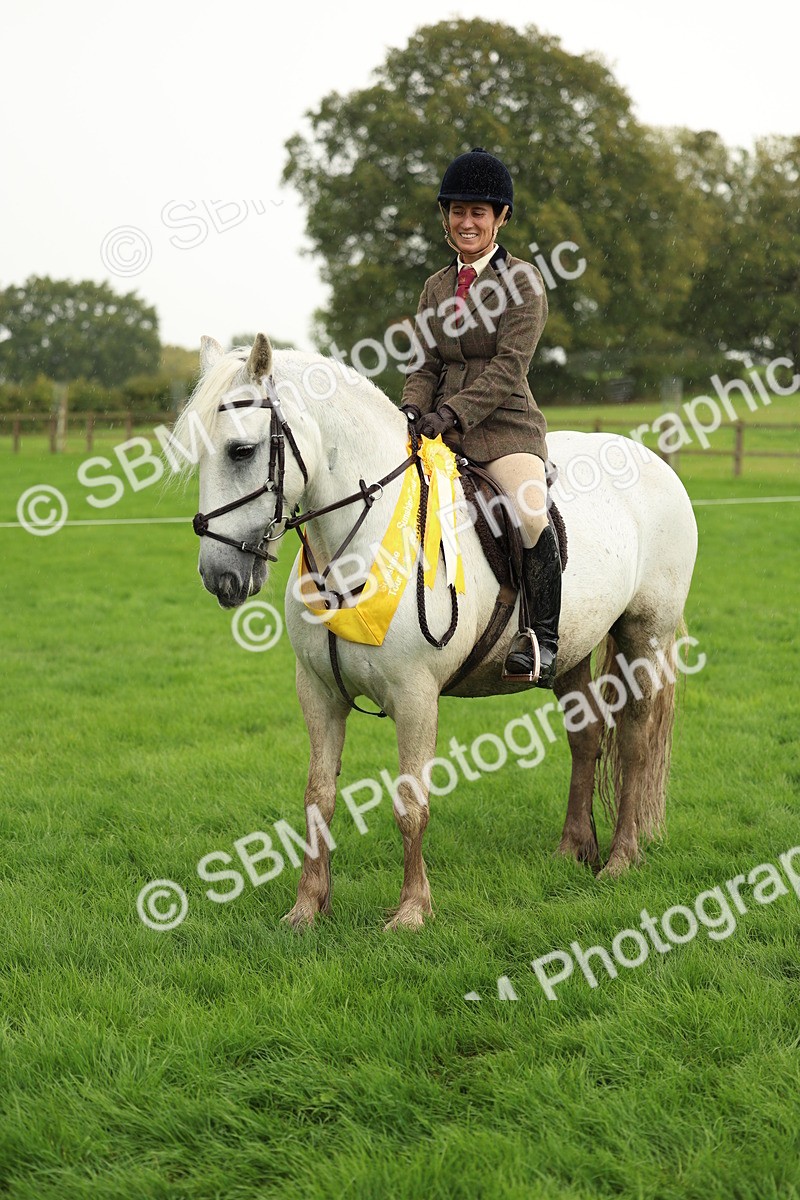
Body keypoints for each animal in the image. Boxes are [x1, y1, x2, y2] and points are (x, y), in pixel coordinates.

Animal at [176, 334, 698, 930]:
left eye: (241, 451)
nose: (220, 575)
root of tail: (651, 460)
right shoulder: (319, 693)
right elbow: (318, 798)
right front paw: (306, 908)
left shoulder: (416, 697)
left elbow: (410, 804)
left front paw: (411, 912)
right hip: (570, 652)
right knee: (585, 738)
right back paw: (573, 849)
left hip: (645, 638)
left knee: (635, 742)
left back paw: (621, 859)